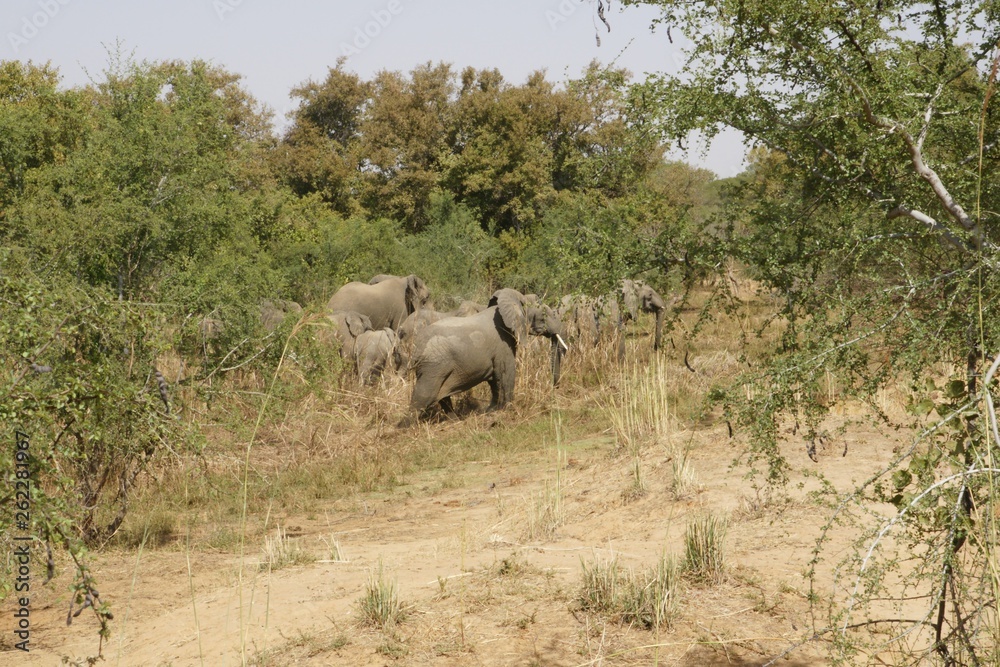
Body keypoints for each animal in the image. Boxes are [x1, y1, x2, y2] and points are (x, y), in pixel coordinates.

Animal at [407, 288, 567, 419]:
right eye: (545, 315)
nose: (555, 390)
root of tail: (415, 348)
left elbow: (494, 380)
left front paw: (491, 410)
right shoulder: (502, 343)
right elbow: (506, 373)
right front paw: (508, 409)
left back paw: (454, 420)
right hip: (434, 366)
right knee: (422, 397)